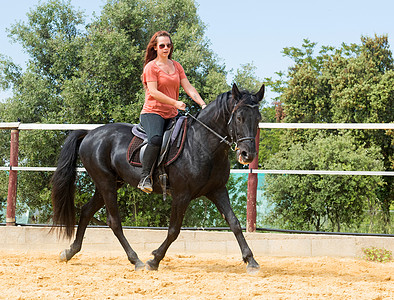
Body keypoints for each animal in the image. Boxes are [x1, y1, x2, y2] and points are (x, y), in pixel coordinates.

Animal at [50, 83, 264, 274]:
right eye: (239, 117)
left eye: (258, 119)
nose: (248, 155)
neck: (202, 143)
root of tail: (90, 134)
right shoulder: (182, 195)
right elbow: (174, 230)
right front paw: (154, 260)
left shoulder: (217, 190)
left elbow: (234, 223)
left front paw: (251, 261)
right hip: (106, 183)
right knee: (114, 222)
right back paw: (136, 260)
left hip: (110, 183)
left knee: (86, 211)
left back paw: (69, 252)